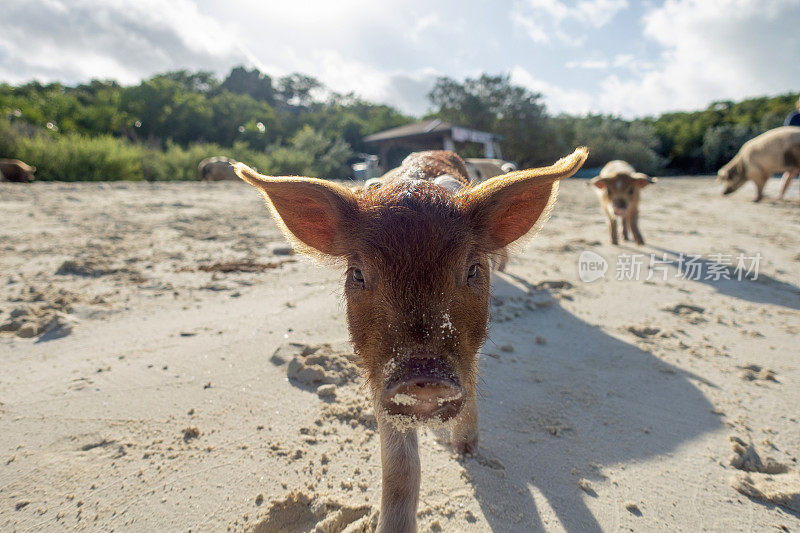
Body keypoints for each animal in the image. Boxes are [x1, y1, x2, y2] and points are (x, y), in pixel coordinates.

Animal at [234, 147, 584, 532]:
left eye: (472, 269)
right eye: (357, 274)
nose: (424, 376)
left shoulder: (468, 348)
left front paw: (466, 451)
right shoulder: (377, 373)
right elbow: (399, 468)